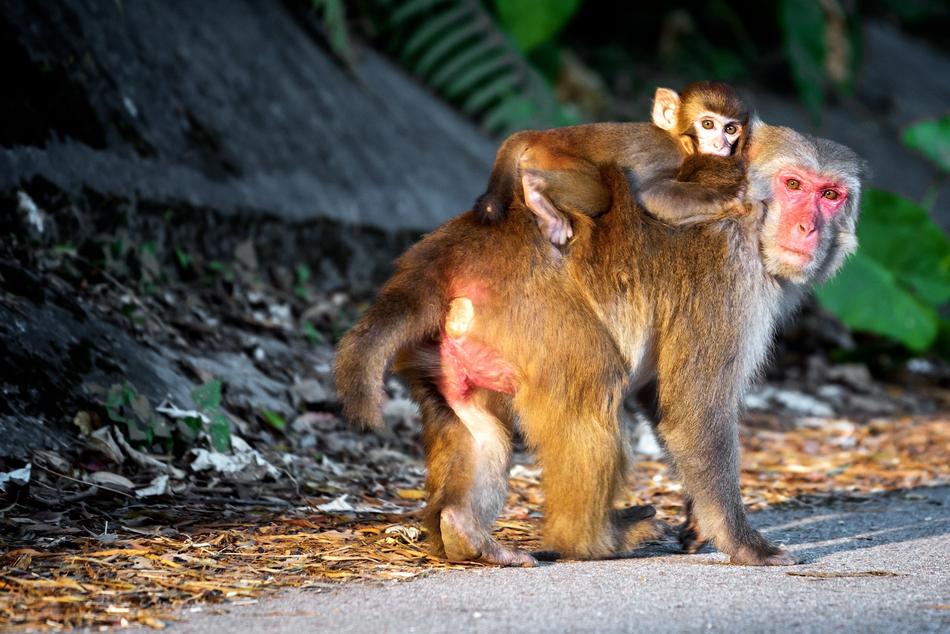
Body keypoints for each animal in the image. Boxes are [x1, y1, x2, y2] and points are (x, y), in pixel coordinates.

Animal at [334, 120, 864, 567]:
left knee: (477, 424)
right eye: (793, 186)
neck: (754, 220)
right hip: (534, 312)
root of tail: (442, 255)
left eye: (830, 195)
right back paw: (591, 540)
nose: (808, 228)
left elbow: (660, 399)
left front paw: (698, 521)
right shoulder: (729, 279)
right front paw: (742, 542)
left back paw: (464, 531)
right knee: (592, 385)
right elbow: (694, 410)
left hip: (444, 353)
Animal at [473, 81, 749, 245]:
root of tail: (542, 134)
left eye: (731, 129)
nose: (721, 145)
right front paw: (726, 198)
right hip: (551, 157)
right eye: (708, 124)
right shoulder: (665, 154)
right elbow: (650, 194)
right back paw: (536, 192)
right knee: (600, 196)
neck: (679, 141)